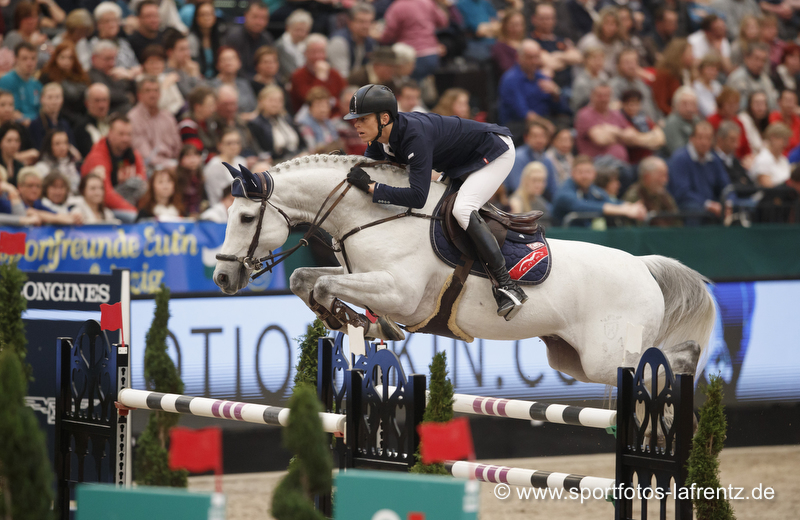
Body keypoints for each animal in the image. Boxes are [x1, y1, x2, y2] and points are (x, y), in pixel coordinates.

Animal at [211, 155, 712, 386]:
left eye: (246, 218)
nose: (222, 279)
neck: (374, 215)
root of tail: (644, 267)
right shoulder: (366, 280)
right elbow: (305, 280)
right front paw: (356, 321)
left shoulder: (400, 293)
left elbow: (327, 284)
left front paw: (356, 320)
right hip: (571, 358)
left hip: (606, 357)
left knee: (661, 367)